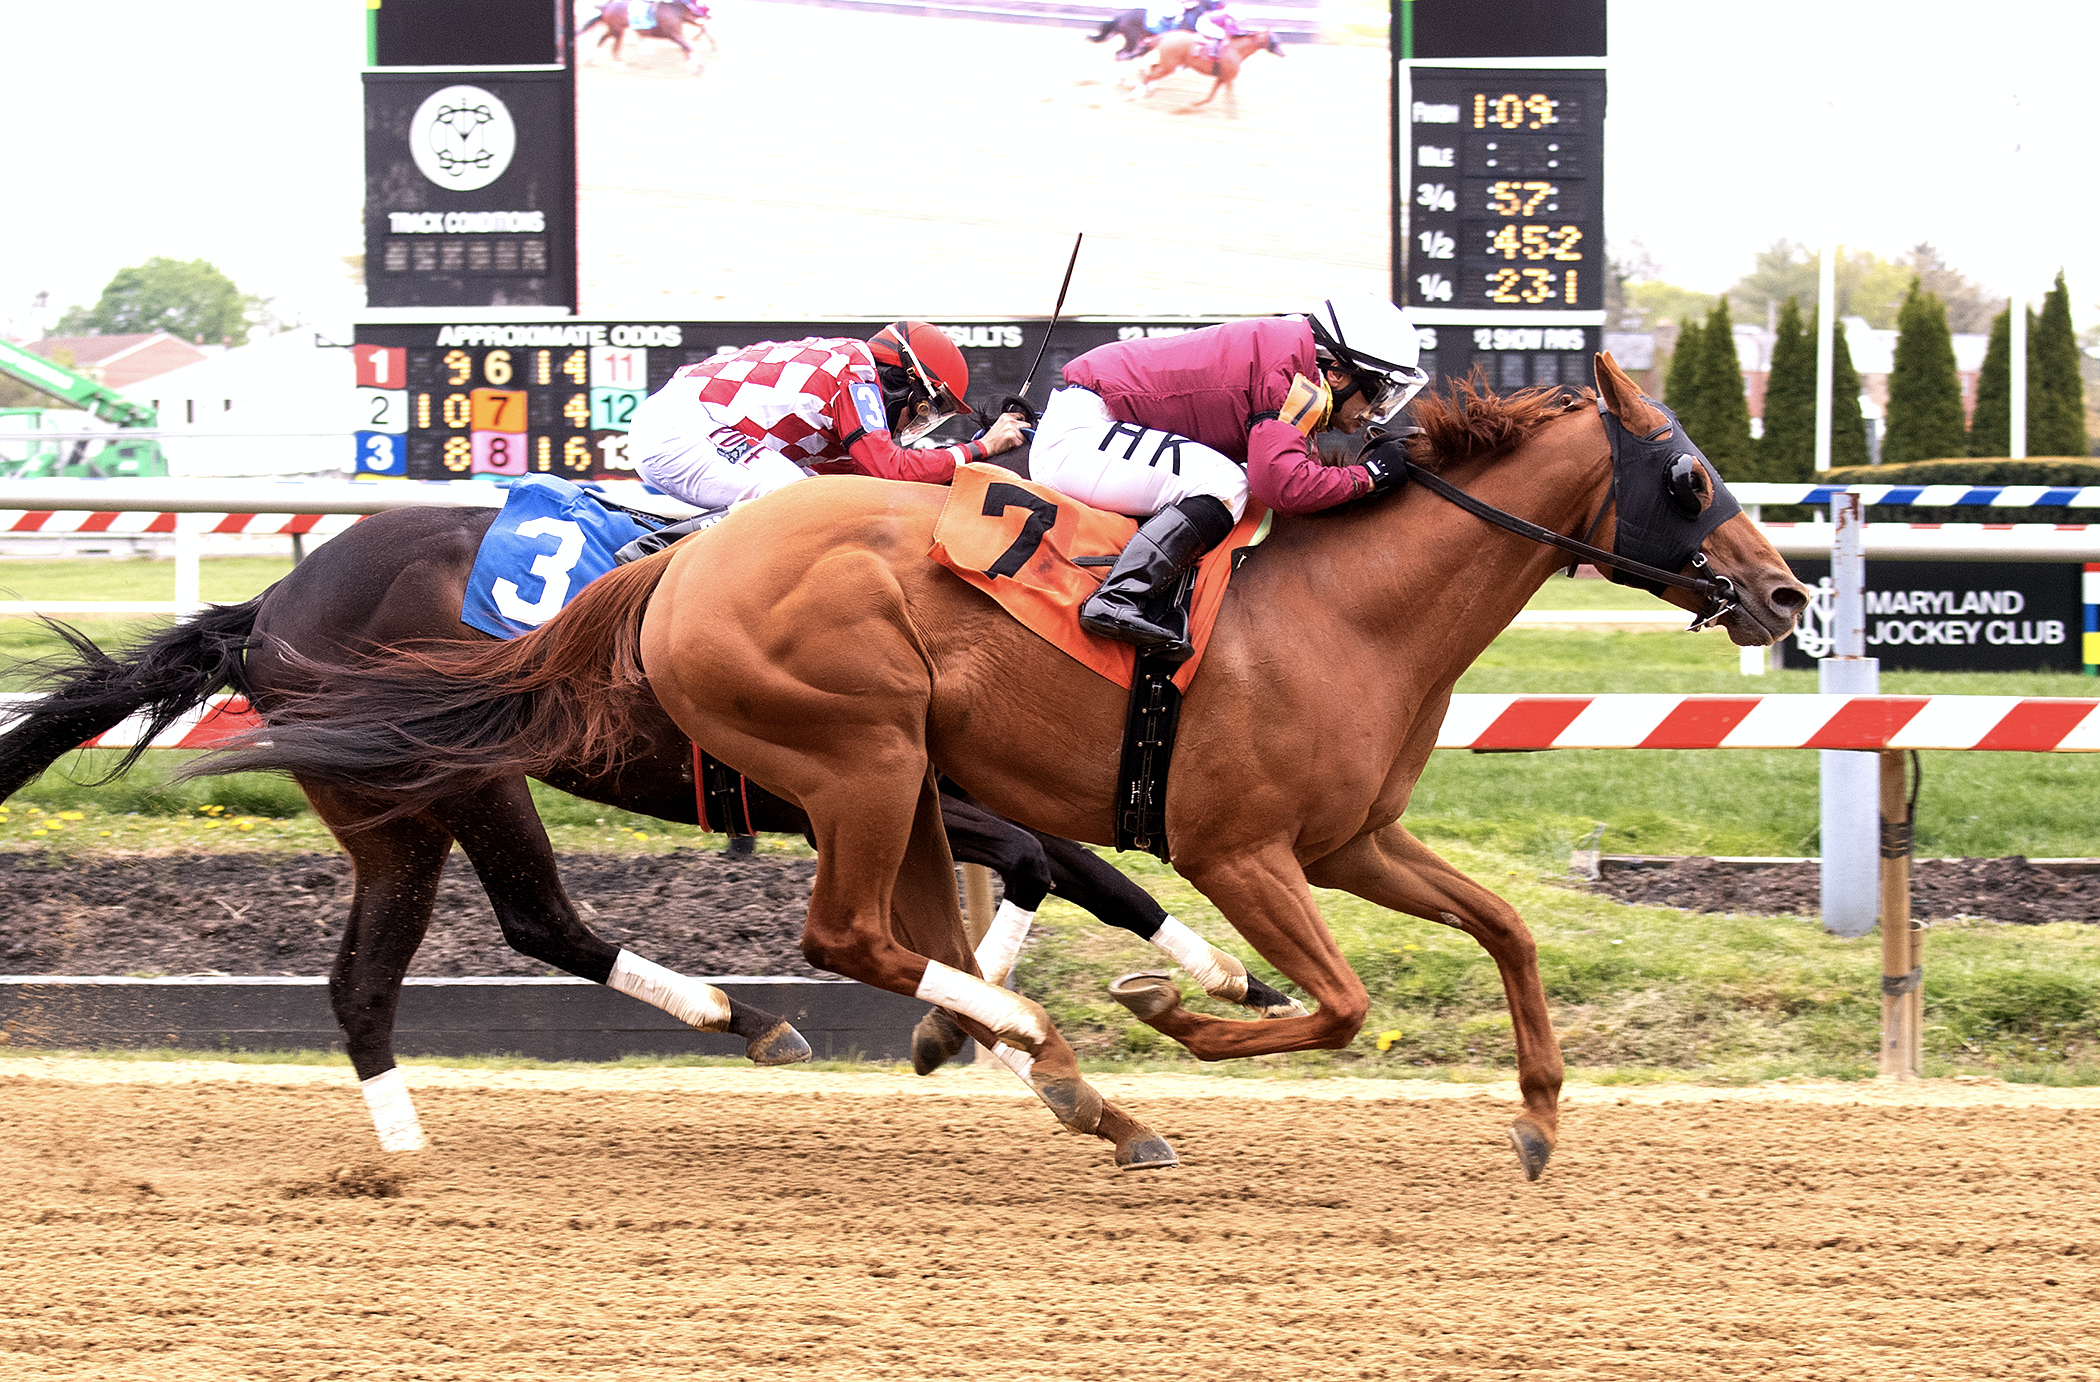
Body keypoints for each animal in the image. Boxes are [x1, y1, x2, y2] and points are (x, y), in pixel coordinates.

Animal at [193, 357, 1805, 1176]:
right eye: (1688, 478)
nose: (1784, 593)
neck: (1341, 607)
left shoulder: (1349, 839)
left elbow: (1510, 928)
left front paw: (1537, 1117)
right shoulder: (1238, 847)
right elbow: (1332, 999)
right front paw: (1176, 1006)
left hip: (851, 775)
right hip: (832, 755)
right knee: (836, 931)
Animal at [1134, 26, 1276, 115]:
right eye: (1273, 40)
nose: (1280, 51)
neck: (1236, 49)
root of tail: (1164, 36)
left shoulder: (1222, 77)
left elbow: (1212, 97)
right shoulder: (1227, 77)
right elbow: (1226, 97)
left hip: (1166, 64)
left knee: (1151, 70)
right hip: (1169, 65)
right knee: (1149, 76)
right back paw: (1136, 96)